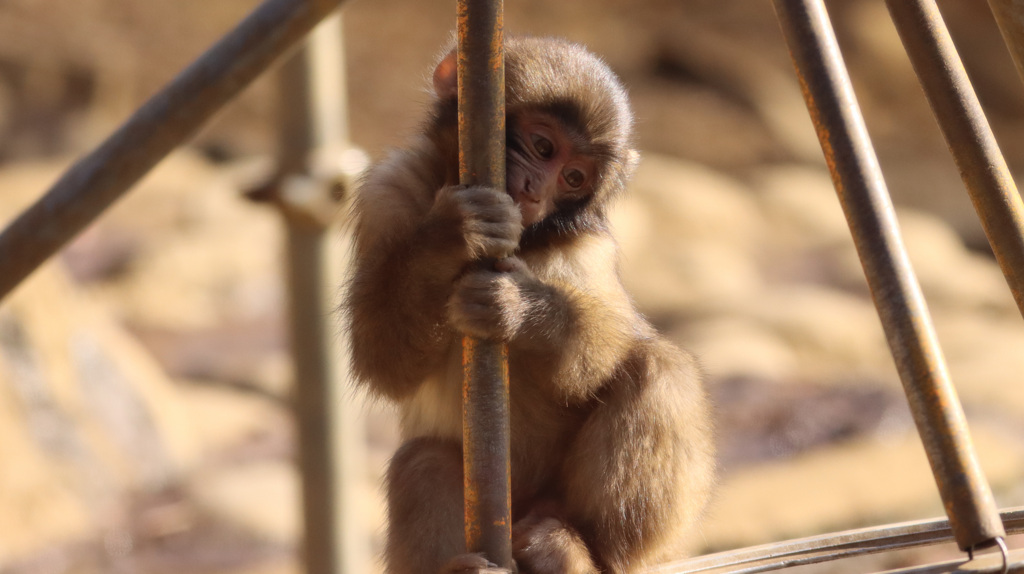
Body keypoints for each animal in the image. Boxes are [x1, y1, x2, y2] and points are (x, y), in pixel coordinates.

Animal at [344, 38, 712, 568]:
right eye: (543, 148)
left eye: (574, 177)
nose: (537, 191)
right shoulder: (387, 193)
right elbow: (382, 363)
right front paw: (452, 234)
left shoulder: (586, 244)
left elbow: (602, 352)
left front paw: (519, 307)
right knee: (424, 462)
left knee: (659, 367)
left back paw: (576, 554)